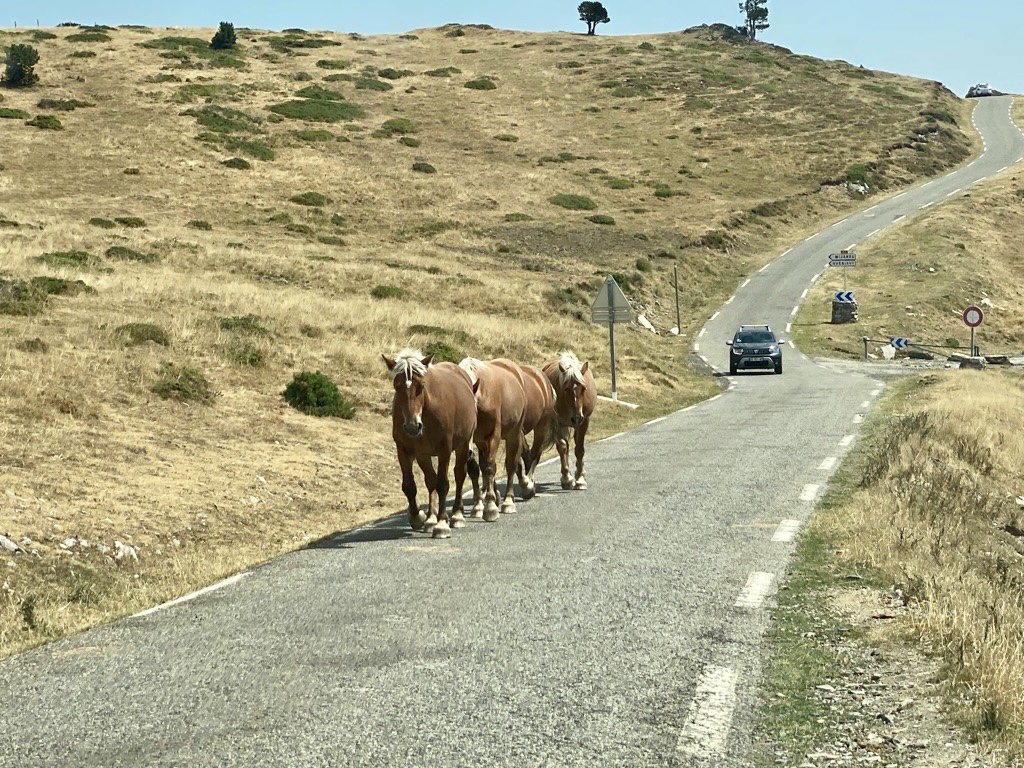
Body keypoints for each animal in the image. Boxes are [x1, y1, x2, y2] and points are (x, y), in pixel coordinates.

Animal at [383, 349, 479, 539]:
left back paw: (456, 515)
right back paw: (430, 518)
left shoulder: (444, 450)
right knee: (430, 480)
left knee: (459, 474)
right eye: (397, 386)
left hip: (463, 444)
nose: (412, 426)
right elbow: (409, 486)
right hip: (424, 455)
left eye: (421, 386)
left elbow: (442, 484)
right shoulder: (404, 450)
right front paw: (417, 517)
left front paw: (441, 524)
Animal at [457, 358, 527, 521]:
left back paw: (508, 501)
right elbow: (477, 468)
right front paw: (479, 506)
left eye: (471, 414)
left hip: (513, 434)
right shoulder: (476, 440)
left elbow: (489, 467)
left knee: (511, 464)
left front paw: (490, 508)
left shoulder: (493, 436)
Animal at [542, 351, 596, 490]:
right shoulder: (557, 423)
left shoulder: (584, 422)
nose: (576, 417)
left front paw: (580, 480)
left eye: (583, 388)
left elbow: (579, 449)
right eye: (566, 389)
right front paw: (567, 478)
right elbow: (562, 447)